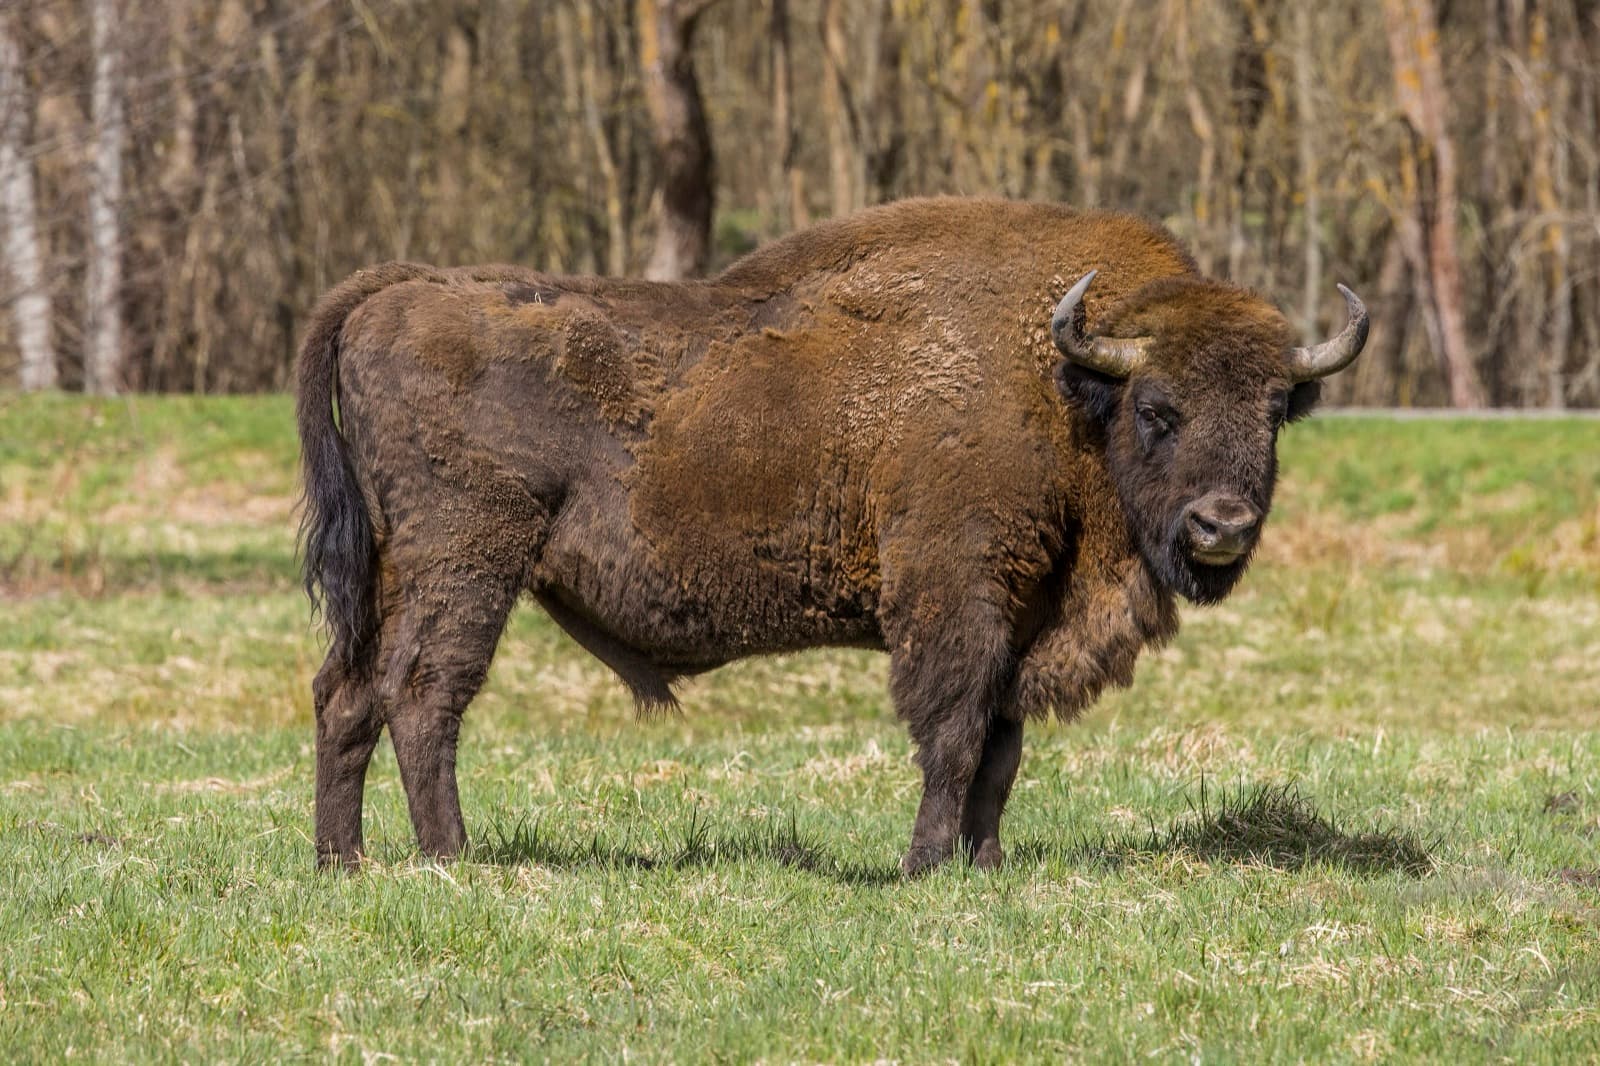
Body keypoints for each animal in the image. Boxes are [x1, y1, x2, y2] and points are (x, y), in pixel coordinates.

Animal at [297, 197, 1367, 874]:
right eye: (1157, 408)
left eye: (1277, 409)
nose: (1222, 525)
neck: (1060, 384)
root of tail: (401, 291)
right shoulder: (957, 598)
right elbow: (954, 735)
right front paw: (924, 866)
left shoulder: (1023, 616)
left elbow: (1002, 750)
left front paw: (985, 866)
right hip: (468, 562)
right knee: (423, 695)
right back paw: (452, 858)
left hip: (392, 570)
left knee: (347, 693)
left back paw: (342, 863)